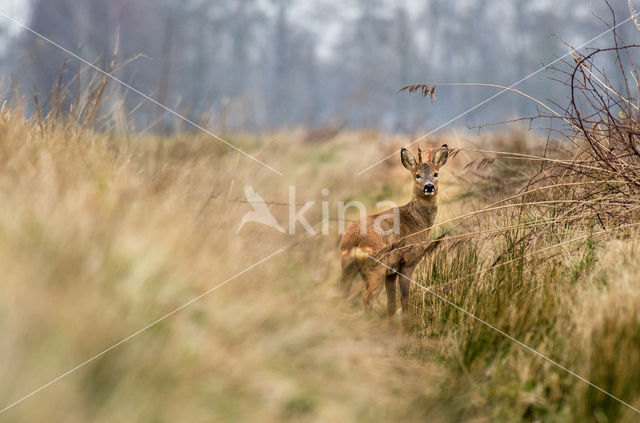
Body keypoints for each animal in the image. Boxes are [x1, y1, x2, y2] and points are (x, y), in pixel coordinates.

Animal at [340, 145, 450, 314]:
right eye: (417, 175)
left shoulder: (391, 272)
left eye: (435, 173)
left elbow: (391, 304)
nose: (429, 186)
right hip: (376, 267)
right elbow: (404, 298)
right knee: (367, 299)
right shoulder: (409, 260)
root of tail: (353, 242)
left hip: (347, 267)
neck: (419, 222)